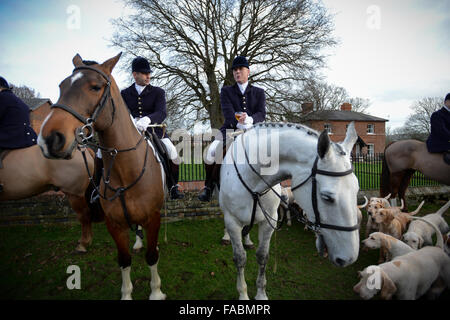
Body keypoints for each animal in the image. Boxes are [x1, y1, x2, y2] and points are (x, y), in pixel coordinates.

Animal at [37, 52, 167, 300]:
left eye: (96, 87)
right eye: (61, 86)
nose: (49, 139)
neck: (126, 170)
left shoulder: (153, 217)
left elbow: (152, 257)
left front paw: (156, 292)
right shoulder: (114, 224)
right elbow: (124, 260)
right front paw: (126, 294)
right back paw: (138, 242)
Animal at [220, 121, 360, 298]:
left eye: (356, 190)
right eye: (327, 197)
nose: (349, 259)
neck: (253, 182)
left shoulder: (268, 222)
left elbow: (262, 256)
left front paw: (261, 294)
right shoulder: (232, 222)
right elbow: (239, 258)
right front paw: (243, 294)